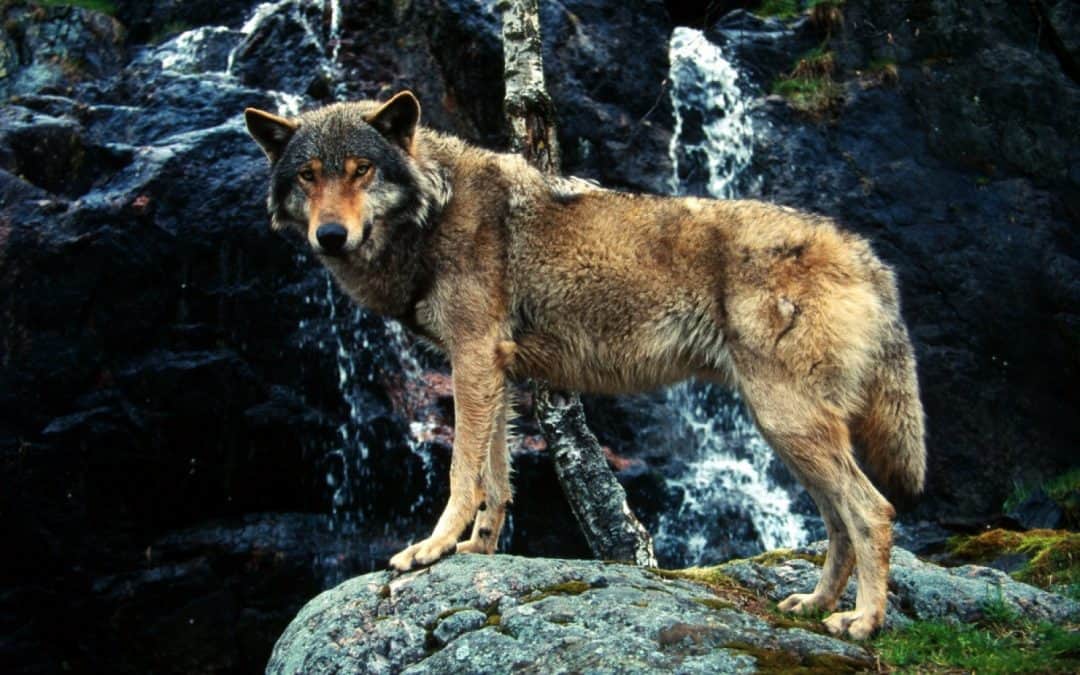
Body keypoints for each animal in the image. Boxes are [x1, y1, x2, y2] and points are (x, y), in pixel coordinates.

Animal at [244, 91, 926, 639]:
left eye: (361, 170)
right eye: (307, 176)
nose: (331, 236)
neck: (436, 210)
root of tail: (867, 256)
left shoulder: (472, 361)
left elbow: (462, 474)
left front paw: (432, 548)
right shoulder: (495, 373)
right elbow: (496, 481)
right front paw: (479, 552)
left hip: (787, 424)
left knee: (872, 512)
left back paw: (864, 622)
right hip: (787, 433)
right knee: (838, 521)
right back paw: (815, 605)